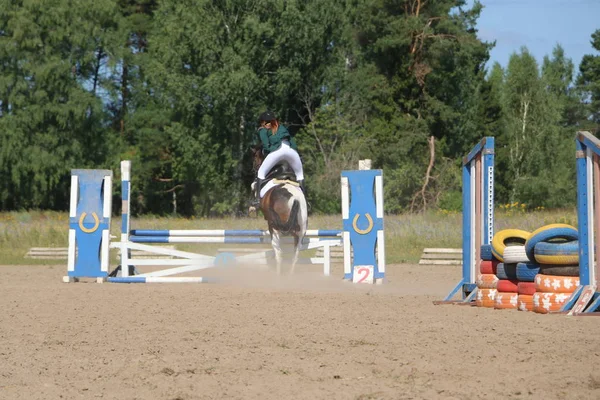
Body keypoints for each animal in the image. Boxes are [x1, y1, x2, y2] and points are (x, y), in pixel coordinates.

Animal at [248, 145, 308, 274]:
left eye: (255, 157)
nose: (254, 169)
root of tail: (295, 198)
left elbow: (253, 185)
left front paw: (252, 208)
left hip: (274, 228)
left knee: (278, 253)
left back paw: (278, 275)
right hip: (300, 231)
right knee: (295, 255)